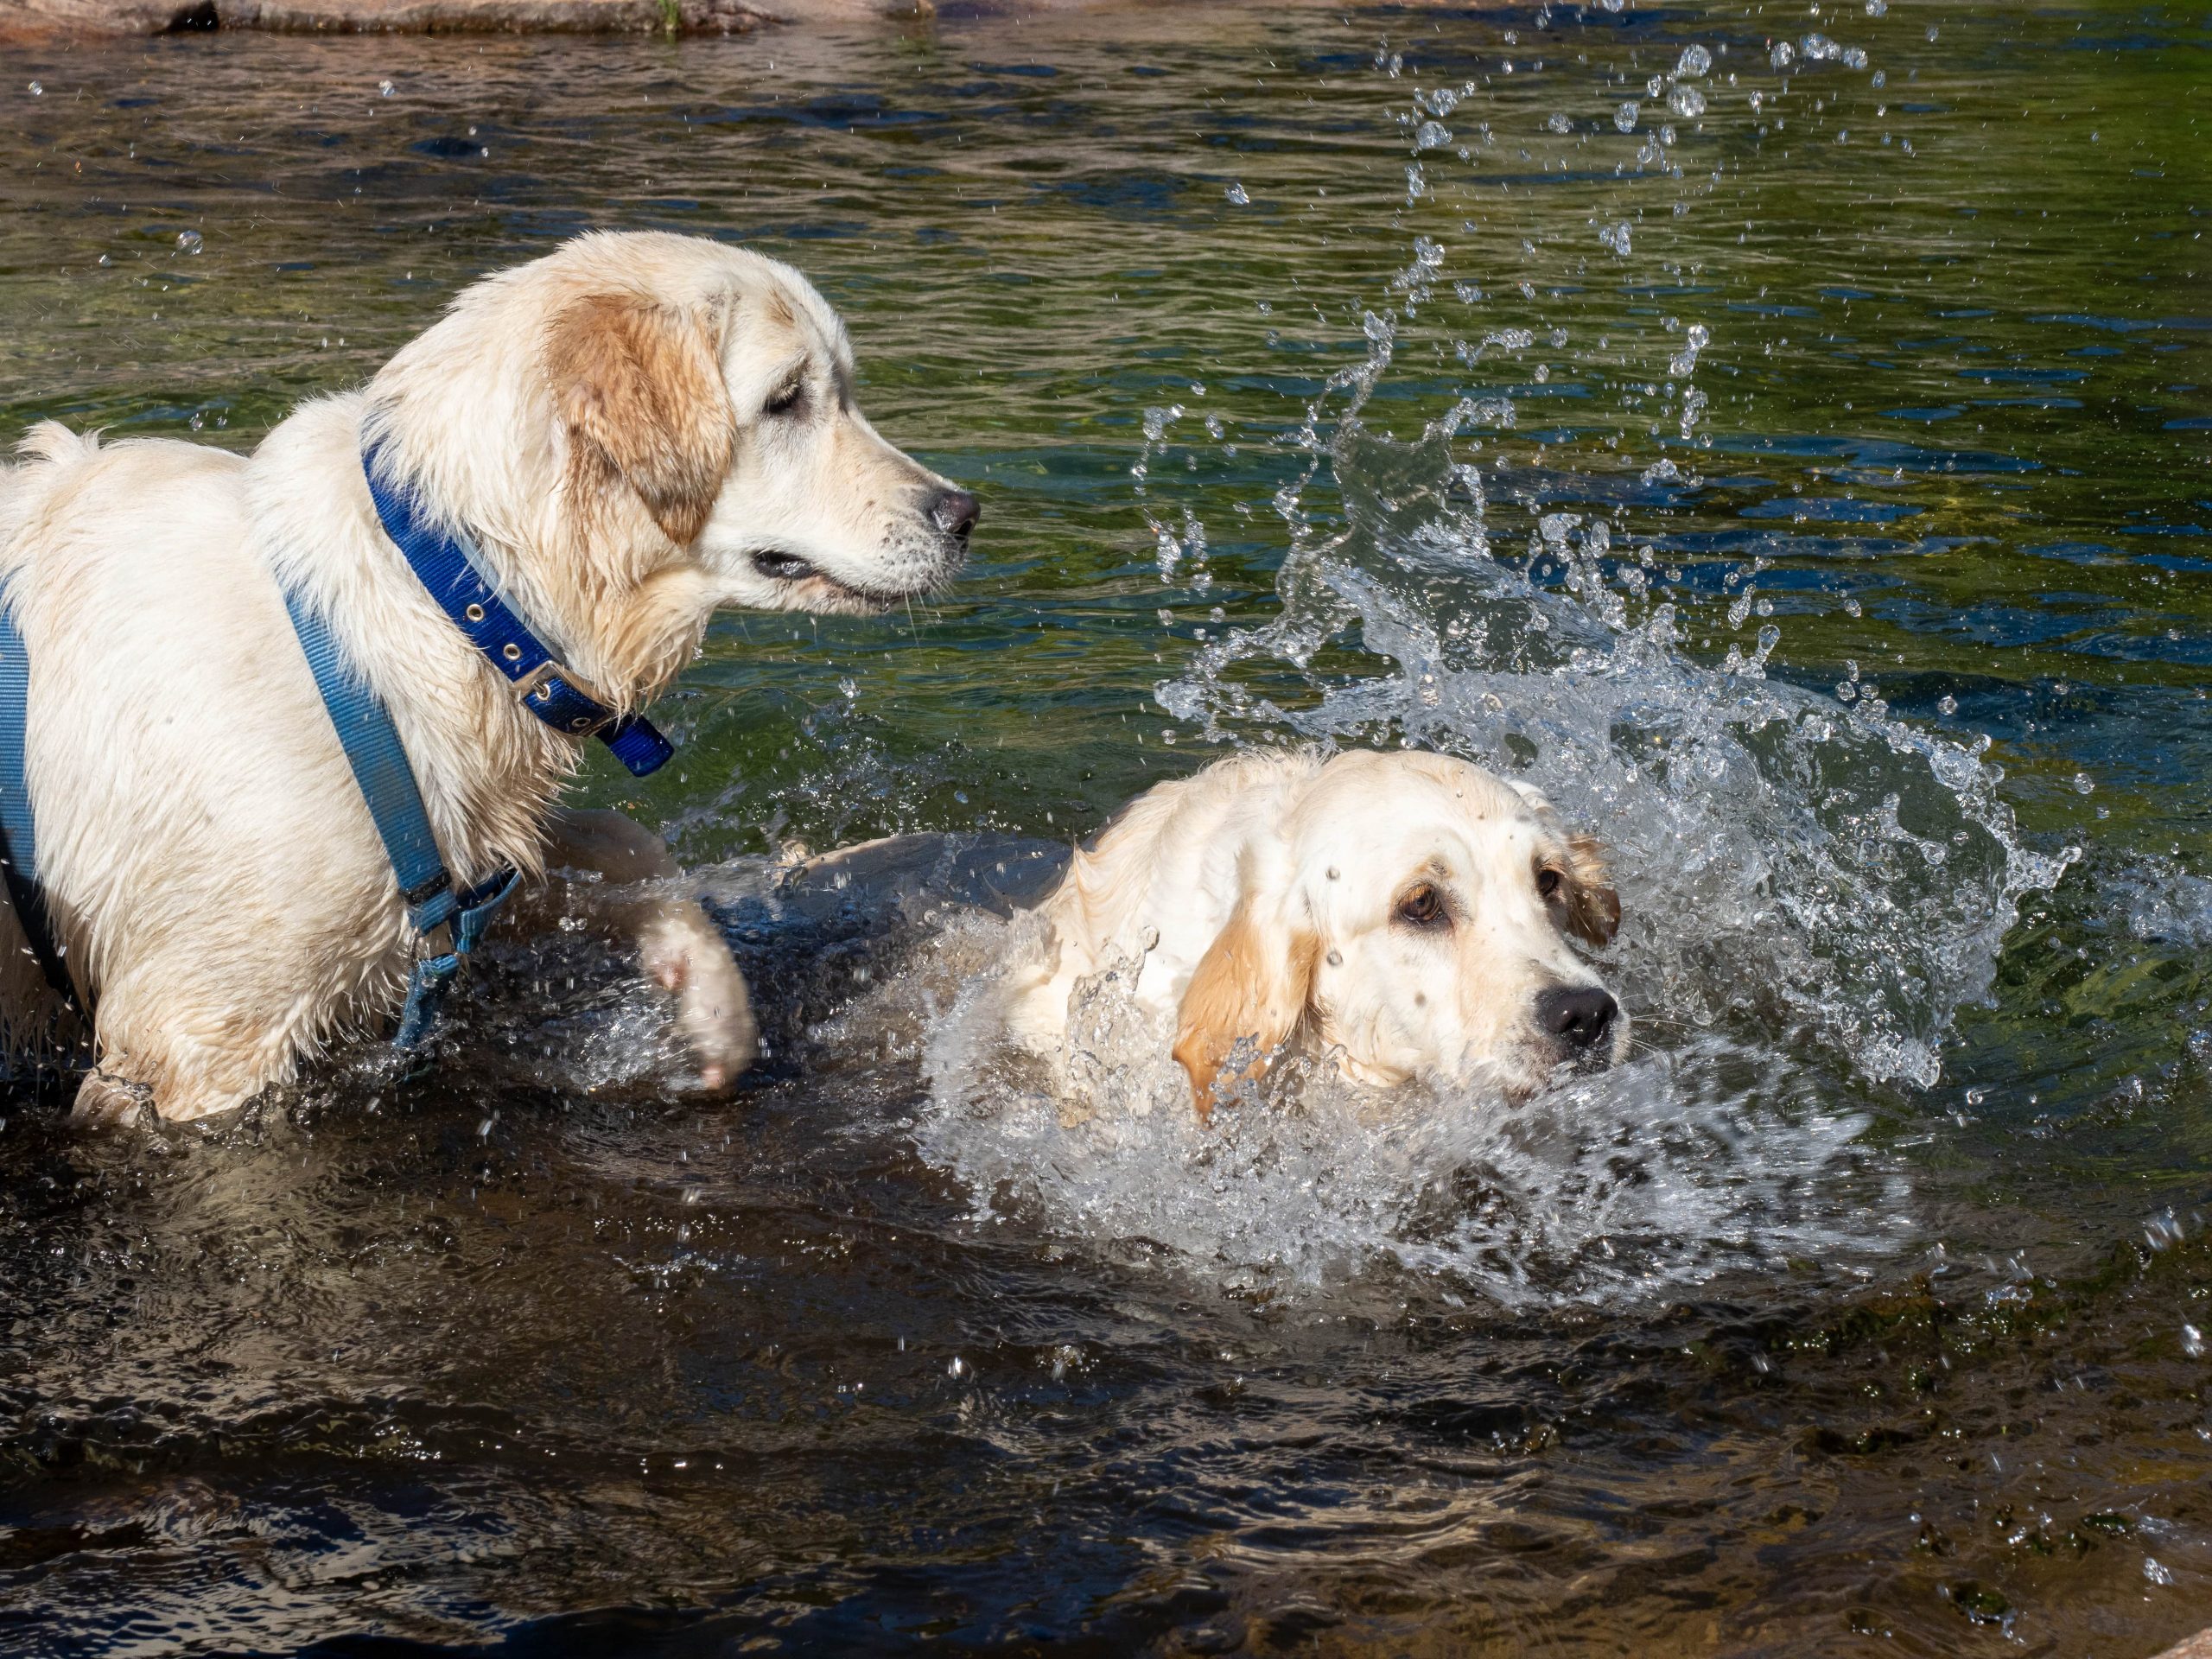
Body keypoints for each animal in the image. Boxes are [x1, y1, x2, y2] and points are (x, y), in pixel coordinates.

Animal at [0, 227, 973, 1123]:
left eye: (841, 390)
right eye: (784, 400)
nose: (963, 514)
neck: (443, 589)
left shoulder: (456, 852)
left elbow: (622, 840)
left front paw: (710, 1008)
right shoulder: (199, 1035)